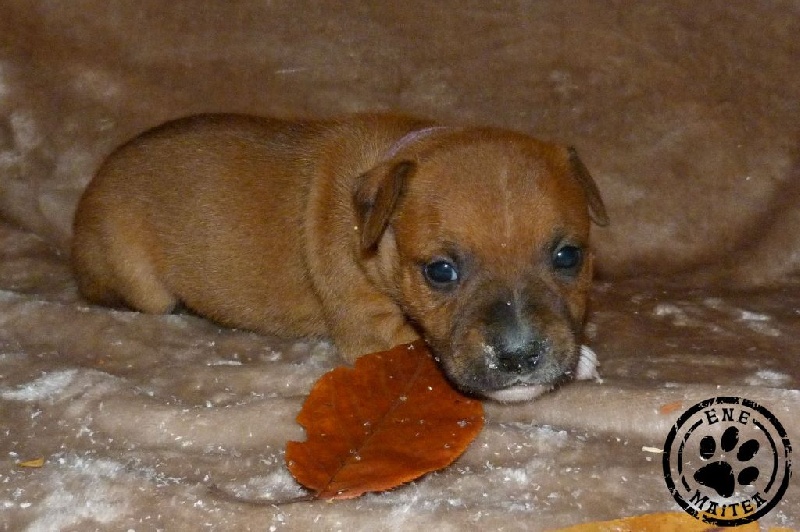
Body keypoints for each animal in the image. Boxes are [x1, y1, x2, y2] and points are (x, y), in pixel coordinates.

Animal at [71, 113, 608, 401]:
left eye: (568, 257)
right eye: (440, 271)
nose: (519, 357)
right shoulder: (371, 328)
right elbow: (420, 345)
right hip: (142, 286)